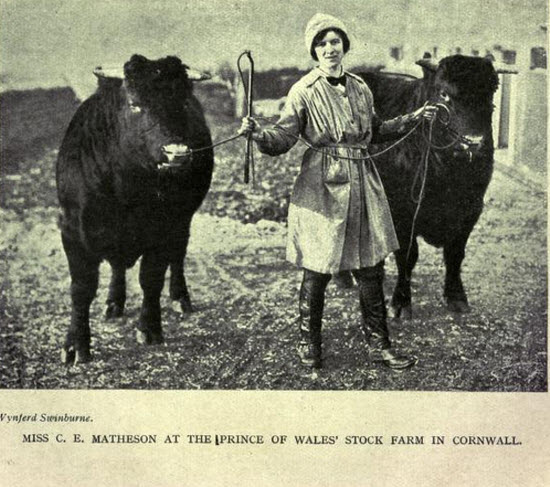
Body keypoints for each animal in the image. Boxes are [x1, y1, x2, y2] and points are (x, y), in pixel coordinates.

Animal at [56, 55, 213, 364]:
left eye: (183, 102)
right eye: (134, 103)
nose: (177, 153)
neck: (126, 190)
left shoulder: (165, 227)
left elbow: (150, 279)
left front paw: (149, 328)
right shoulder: (72, 231)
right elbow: (81, 289)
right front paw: (76, 345)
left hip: (184, 220)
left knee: (178, 254)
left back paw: (180, 297)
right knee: (117, 266)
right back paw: (114, 302)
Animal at [356, 55, 506, 318]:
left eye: (490, 93)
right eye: (444, 94)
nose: (473, 143)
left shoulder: (471, 210)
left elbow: (455, 254)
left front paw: (457, 297)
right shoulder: (401, 211)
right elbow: (407, 256)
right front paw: (401, 302)